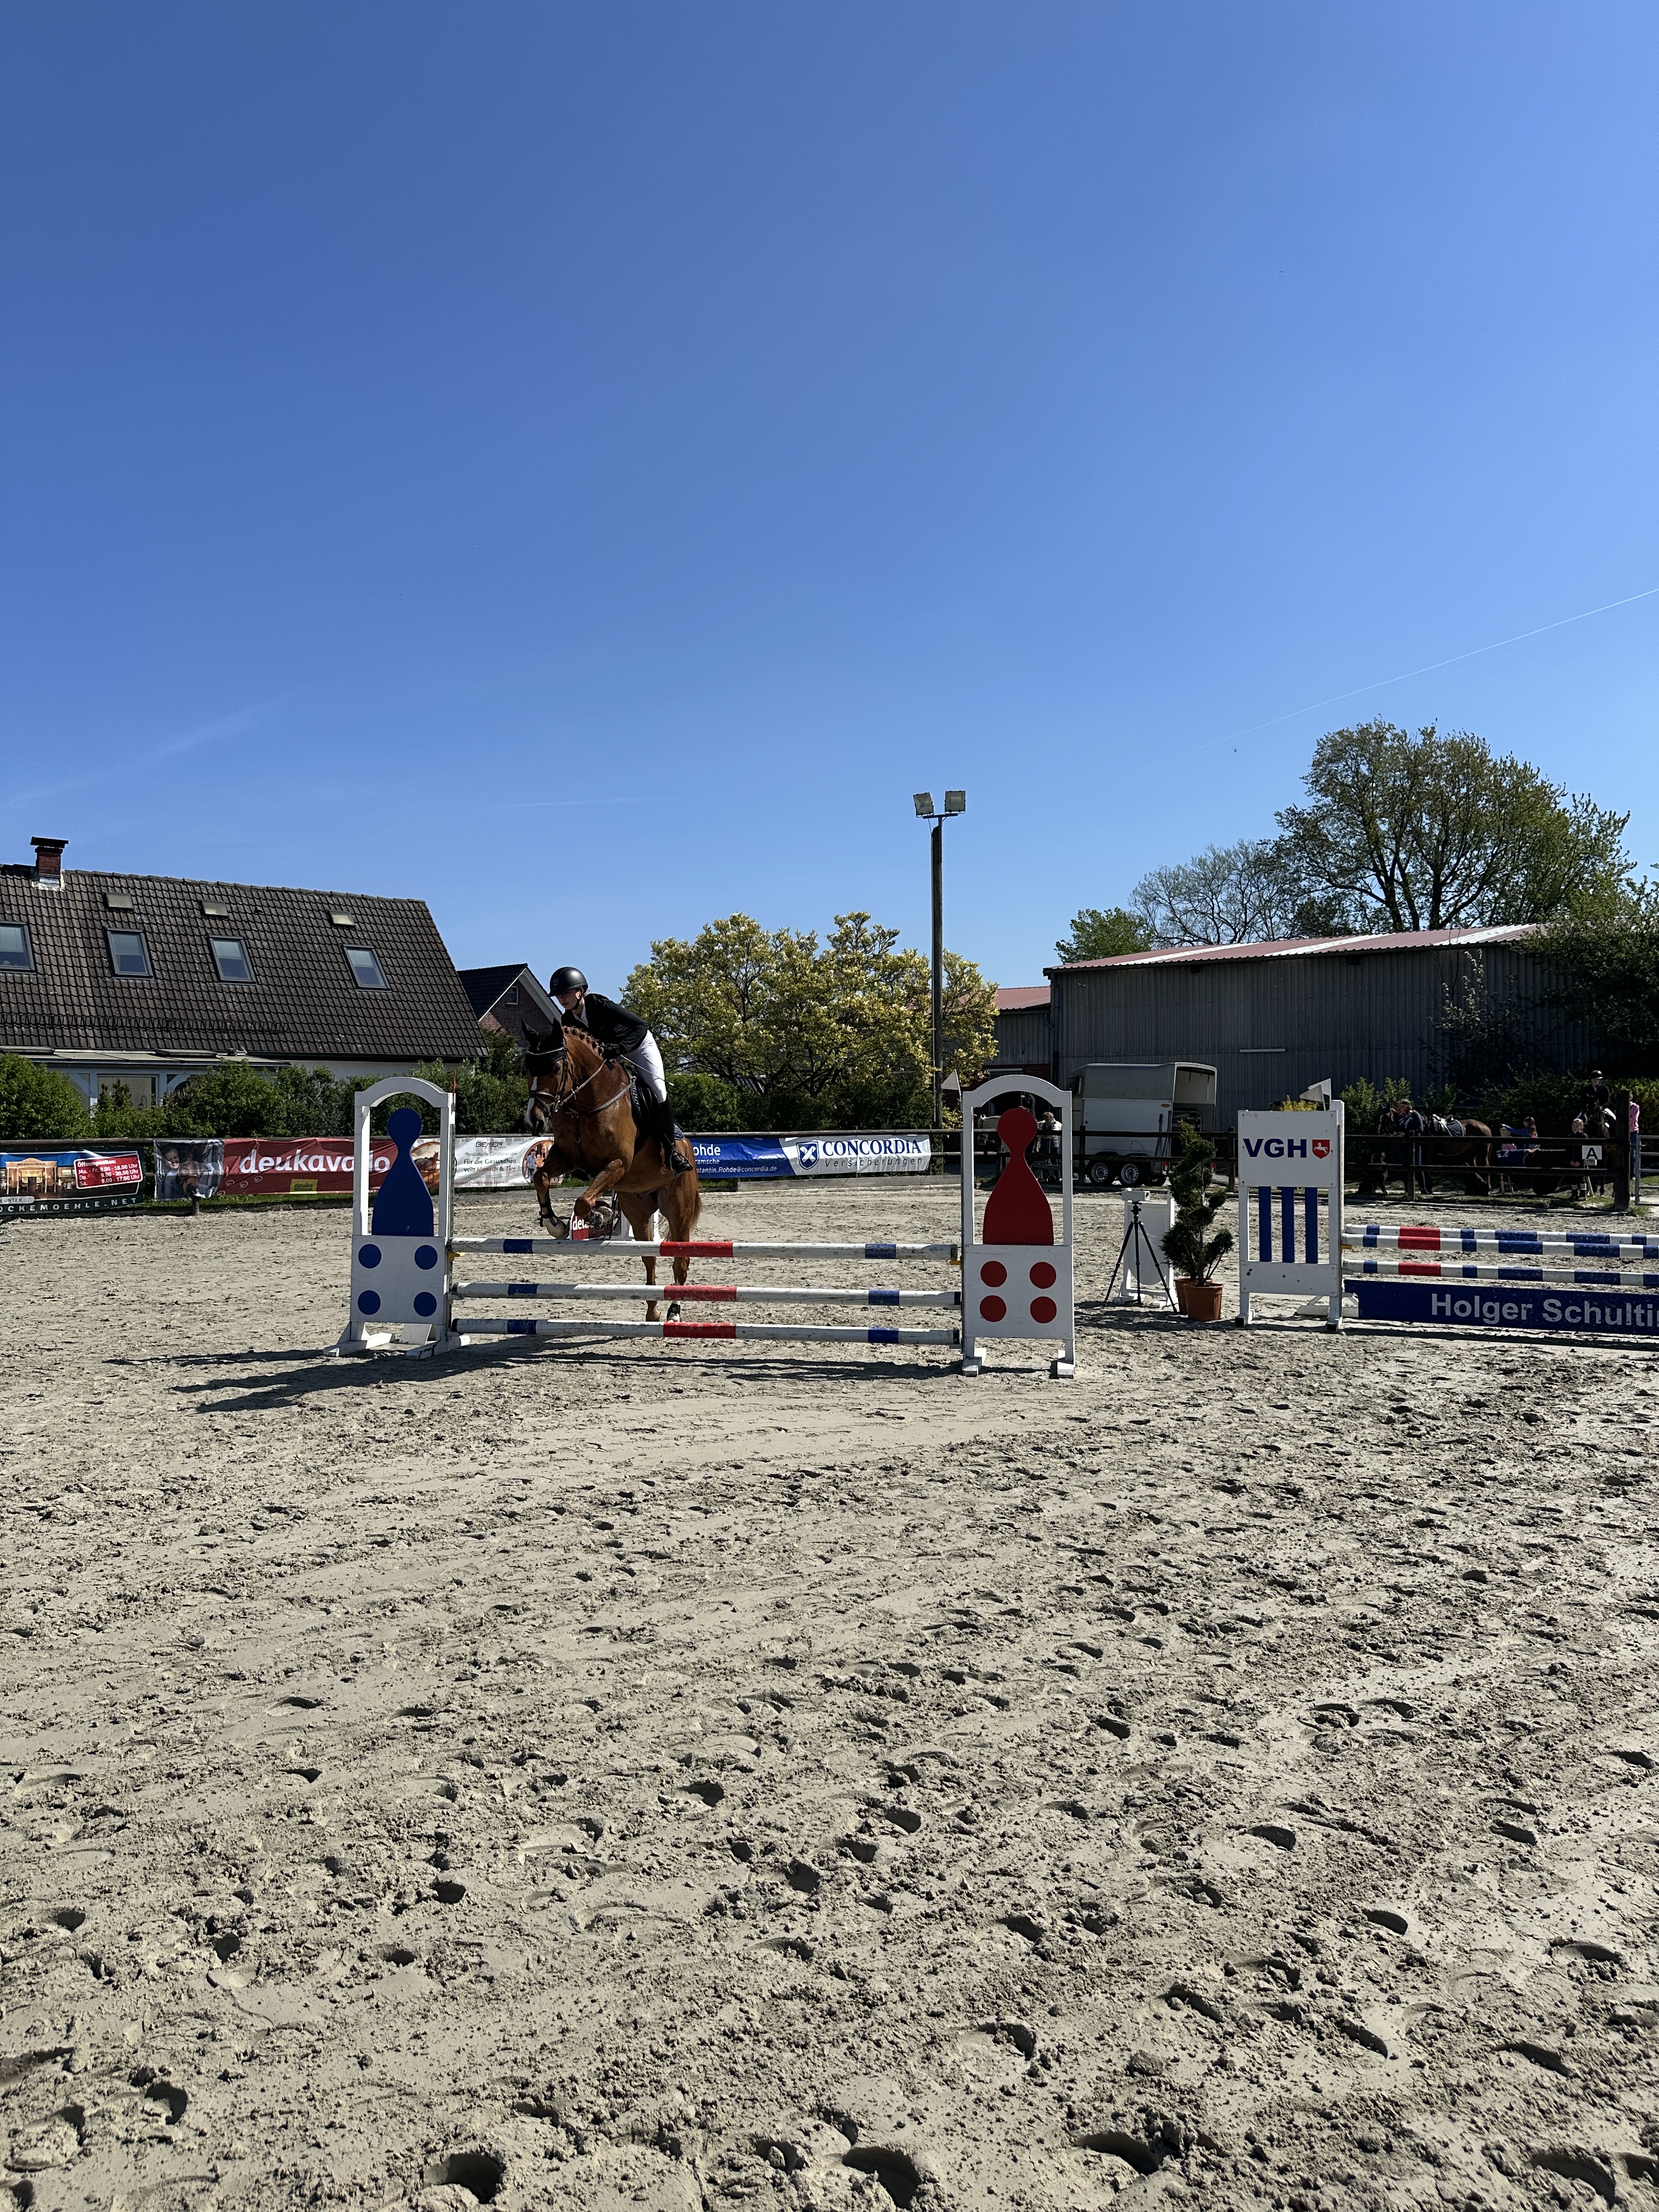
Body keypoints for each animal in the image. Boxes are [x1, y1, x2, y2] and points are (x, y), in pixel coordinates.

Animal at [521, 1016, 702, 1321]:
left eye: (555, 1068)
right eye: (527, 1069)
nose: (534, 1121)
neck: (587, 1104)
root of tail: (687, 1146)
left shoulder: (617, 1165)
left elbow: (583, 1202)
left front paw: (599, 1216)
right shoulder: (566, 1157)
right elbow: (541, 1178)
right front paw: (555, 1225)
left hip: (678, 1208)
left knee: (681, 1260)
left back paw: (674, 1312)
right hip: (638, 1209)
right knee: (649, 1257)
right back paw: (652, 1310)